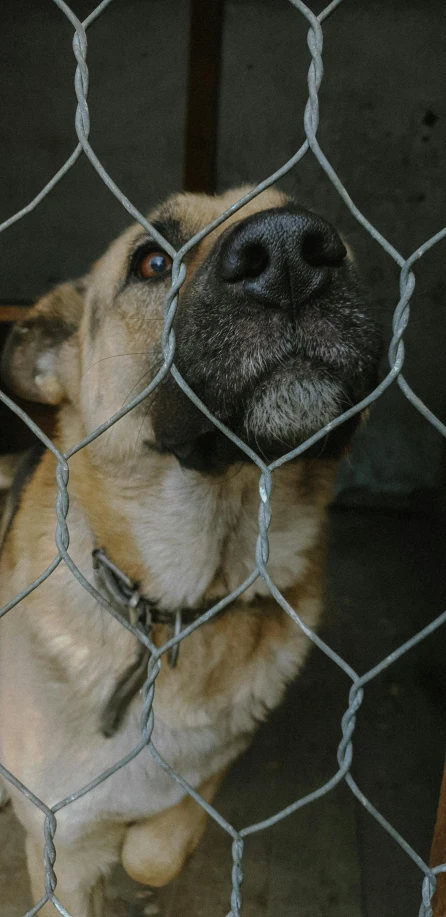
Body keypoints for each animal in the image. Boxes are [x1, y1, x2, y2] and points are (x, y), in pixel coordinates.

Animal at [0, 188, 380, 916]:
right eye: (151, 261)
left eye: (302, 211)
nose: (290, 252)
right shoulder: (61, 847)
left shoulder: (210, 768)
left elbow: (156, 849)